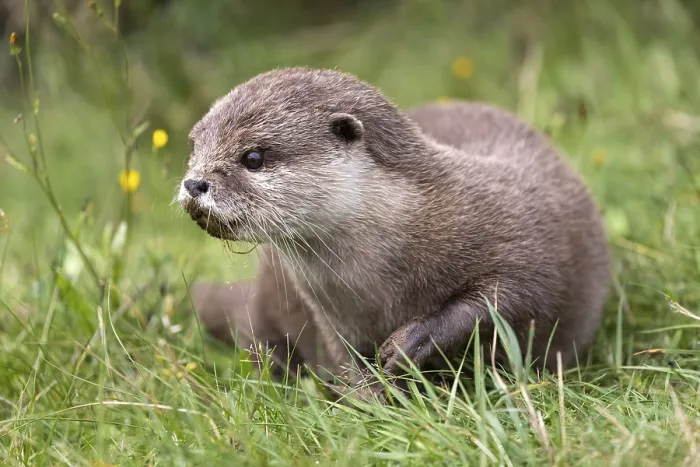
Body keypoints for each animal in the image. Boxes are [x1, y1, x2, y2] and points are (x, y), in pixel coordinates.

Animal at [180, 67, 610, 397]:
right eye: (194, 145)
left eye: (253, 156)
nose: (194, 183)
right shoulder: (333, 318)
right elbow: (349, 360)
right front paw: (371, 400)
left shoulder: (520, 241)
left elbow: (508, 299)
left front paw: (413, 342)